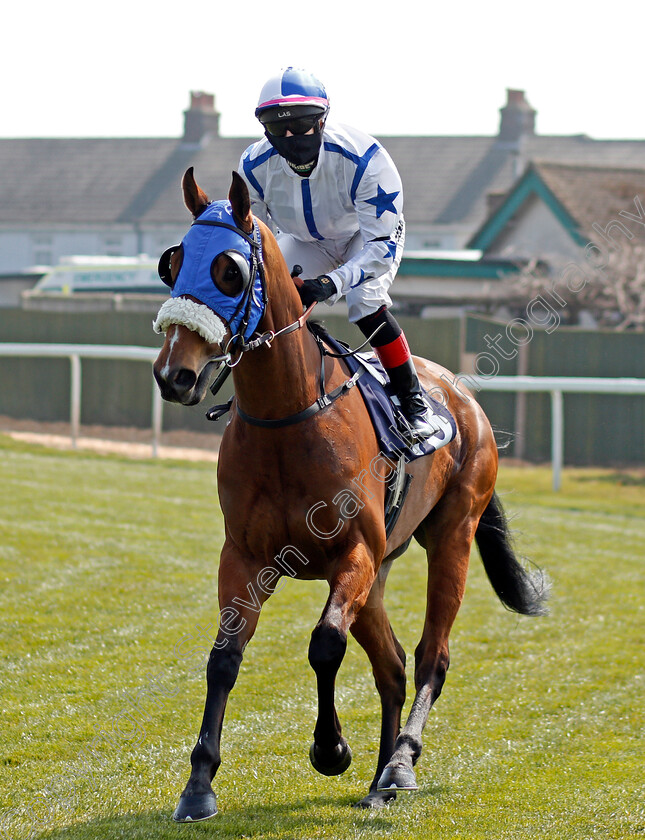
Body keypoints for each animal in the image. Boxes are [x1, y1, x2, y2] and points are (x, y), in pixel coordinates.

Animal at [152, 169, 548, 820]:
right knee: (392, 665)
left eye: (228, 270)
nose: (174, 374)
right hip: (381, 573)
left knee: (431, 657)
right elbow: (224, 656)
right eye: (173, 262)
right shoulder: (244, 557)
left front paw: (331, 747)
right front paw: (199, 783)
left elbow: (324, 644)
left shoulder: (352, 555)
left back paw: (400, 764)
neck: (288, 418)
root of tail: (463, 398)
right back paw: (379, 780)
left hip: (451, 538)